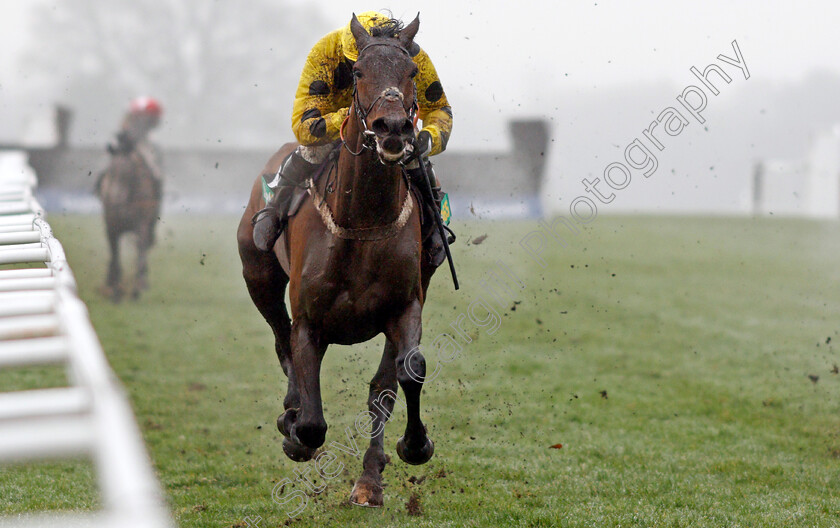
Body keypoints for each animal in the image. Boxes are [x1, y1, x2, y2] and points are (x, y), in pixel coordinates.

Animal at [96, 146, 161, 302]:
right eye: (111, 171)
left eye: (129, 172)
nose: (115, 199)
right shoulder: (111, 229)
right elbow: (115, 257)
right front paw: (115, 292)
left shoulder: (142, 226)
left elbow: (140, 253)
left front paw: (136, 289)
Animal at [235, 13, 436, 508]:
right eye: (359, 72)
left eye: (411, 72)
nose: (393, 128)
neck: (361, 219)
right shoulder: (309, 319)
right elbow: (310, 421)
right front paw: (294, 431)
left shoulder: (405, 306)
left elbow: (403, 375)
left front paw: (409, 448)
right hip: (258, 276)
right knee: (281, 341)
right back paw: (290, 413)